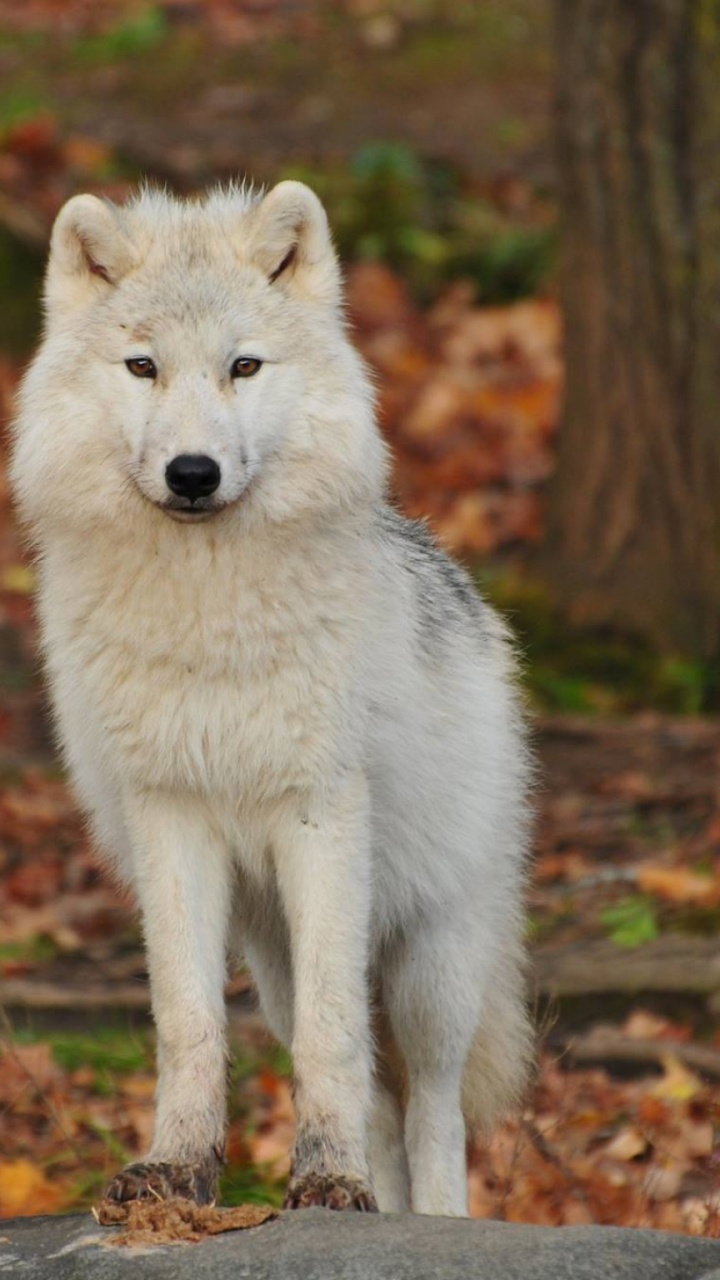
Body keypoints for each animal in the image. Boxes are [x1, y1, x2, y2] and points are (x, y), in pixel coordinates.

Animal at [10, 181, 532, 1216]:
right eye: (143, 367)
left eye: (243, 366)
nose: (193, 473)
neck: (208, 619)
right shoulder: (169, 816)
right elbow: (187, 1023)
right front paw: (177, 1170)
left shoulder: (319, 813)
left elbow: (337, 1038)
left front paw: (325, 1178)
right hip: (273, 960)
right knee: (379, 1102)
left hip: (431, 964)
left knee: (433, 1108)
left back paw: (432, 1220)